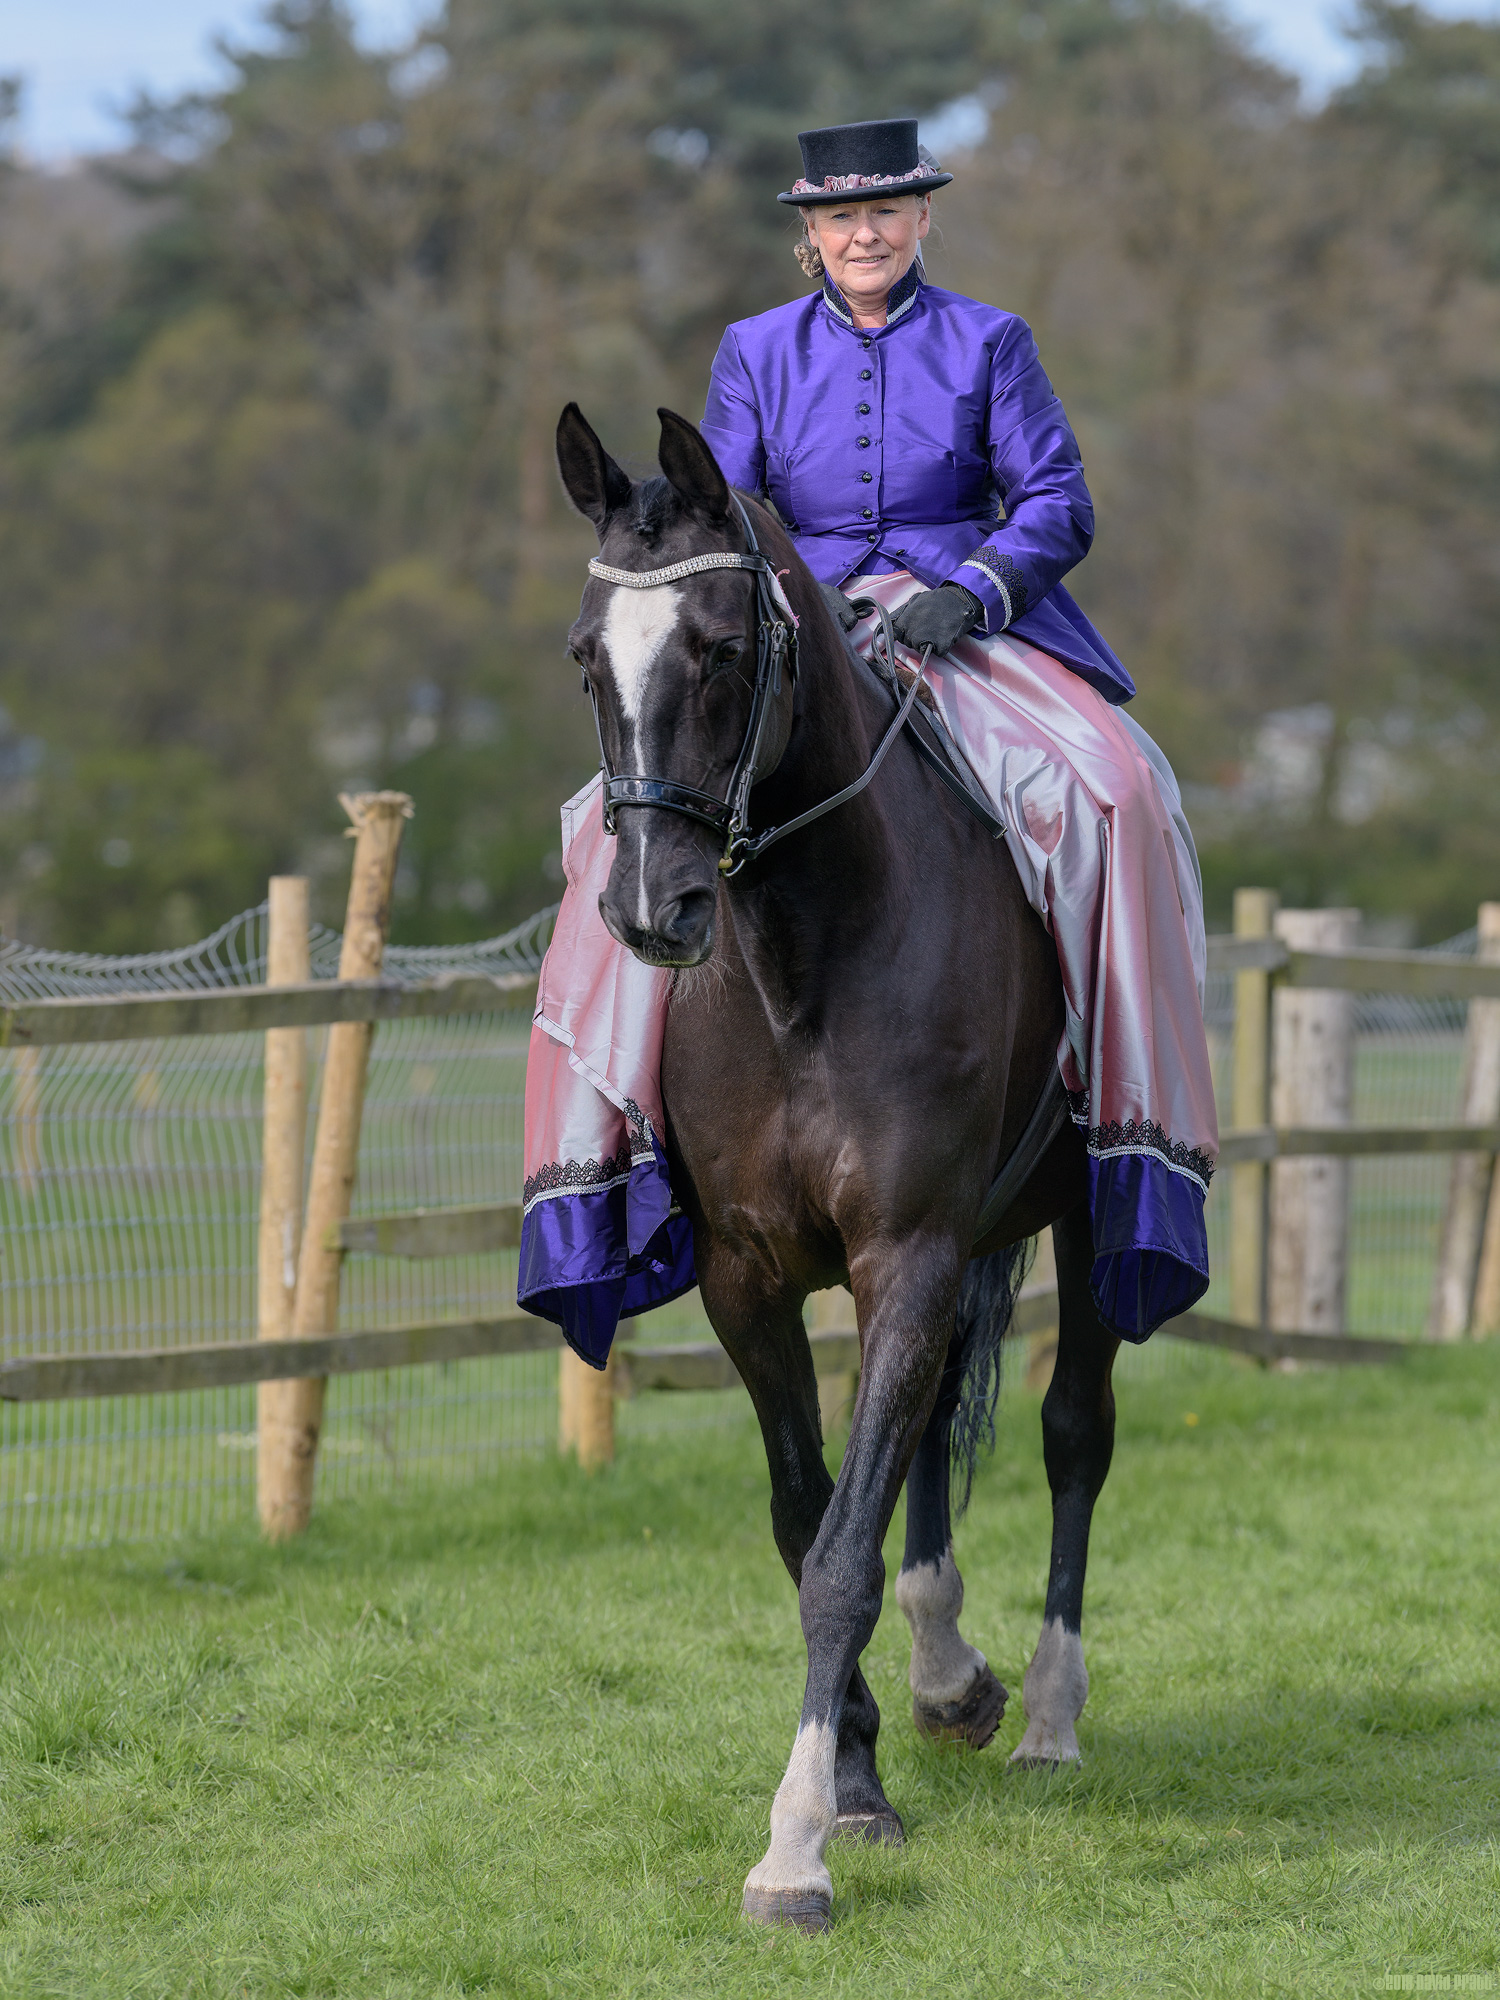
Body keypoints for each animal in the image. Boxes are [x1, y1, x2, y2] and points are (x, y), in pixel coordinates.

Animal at [555, 402, 1121, 1934]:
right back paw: (949, 1679)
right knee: (927, 1445)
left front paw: (796, 1843)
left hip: (1089, 1223)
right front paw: (858, 1780)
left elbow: (841, 1556)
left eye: (720, 649)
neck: (805, 958)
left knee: (1074, 1433)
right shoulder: (752, 1281)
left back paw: (1047, 1711)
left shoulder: (910, 1253)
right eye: (586, 659)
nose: (654, 907)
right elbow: (807, 1515)